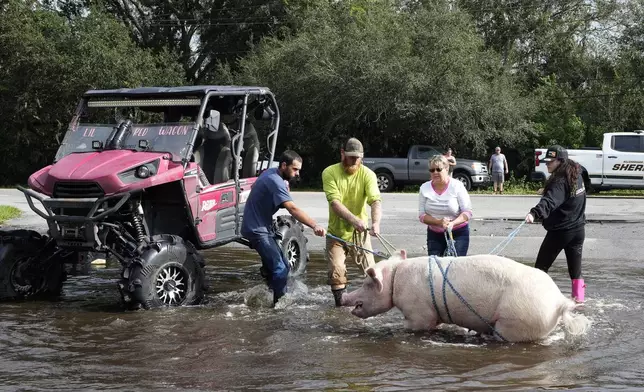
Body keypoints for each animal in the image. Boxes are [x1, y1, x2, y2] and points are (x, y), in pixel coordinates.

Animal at [342, 251, 588, 344]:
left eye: (366, 283)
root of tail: (558, 302)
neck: (395, 279)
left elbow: (416, 326)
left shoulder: (418, 313)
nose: (344, 296)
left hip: (516, 320)